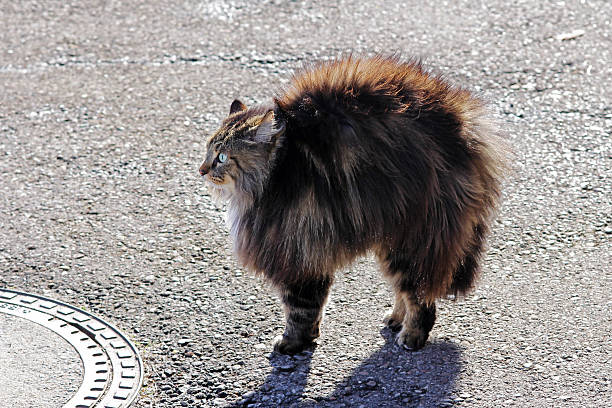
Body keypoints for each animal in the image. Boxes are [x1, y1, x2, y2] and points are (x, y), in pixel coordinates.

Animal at [198, 54, 504, 354]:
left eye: (222, 157)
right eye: (208, 149)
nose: (201, 170)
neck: (279, 171)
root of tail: (464, 125)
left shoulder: (297, 249)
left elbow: (300, 309)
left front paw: (292, 343)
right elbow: (313, 307)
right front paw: (309, 337)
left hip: (414, 236)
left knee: (420, 295)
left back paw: (411, 337)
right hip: (392, 238)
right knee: (406, 290)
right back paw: (396, 318)